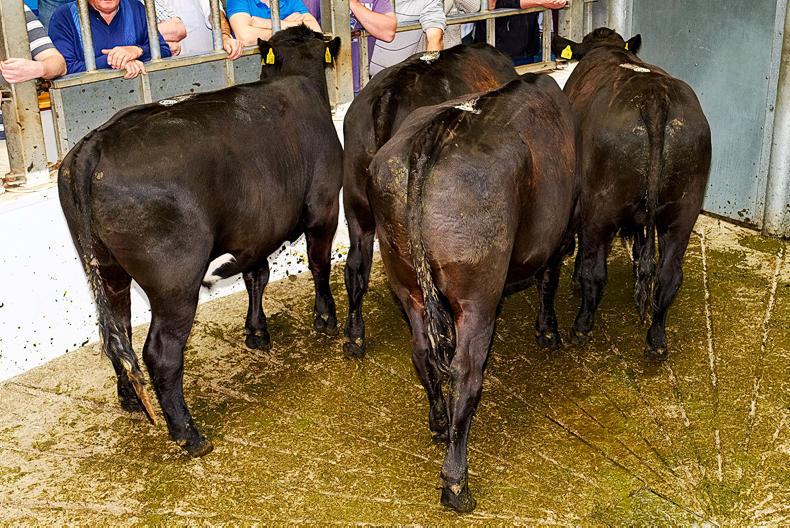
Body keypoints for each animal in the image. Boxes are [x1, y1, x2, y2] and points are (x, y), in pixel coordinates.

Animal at [58, 26, 343, 457]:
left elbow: (256, 275)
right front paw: (325, 319)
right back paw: (188, 433)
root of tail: (96, 143)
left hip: (106, 267)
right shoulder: (324, 205)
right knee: (160, 352)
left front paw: (256, 332)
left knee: (118, 331)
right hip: (175, 278)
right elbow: (318, 263)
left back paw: (131, 397)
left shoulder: (254, 230)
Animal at [368, 75, 578, 512]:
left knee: (422, 353)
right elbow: (549, 278)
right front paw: (548, 330)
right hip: (477, 296)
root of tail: (436, 133)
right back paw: (456, 483)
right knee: (465, 372)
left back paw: (439, 423)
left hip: (406, 280)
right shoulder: (557, 234)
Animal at [552, 28, 711, 361]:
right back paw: (657, 340)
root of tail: (654, 99)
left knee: (596, 271)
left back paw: (582, 325)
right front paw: (637, 258)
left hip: (602, 205)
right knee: (668, 276)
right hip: (684, 210)